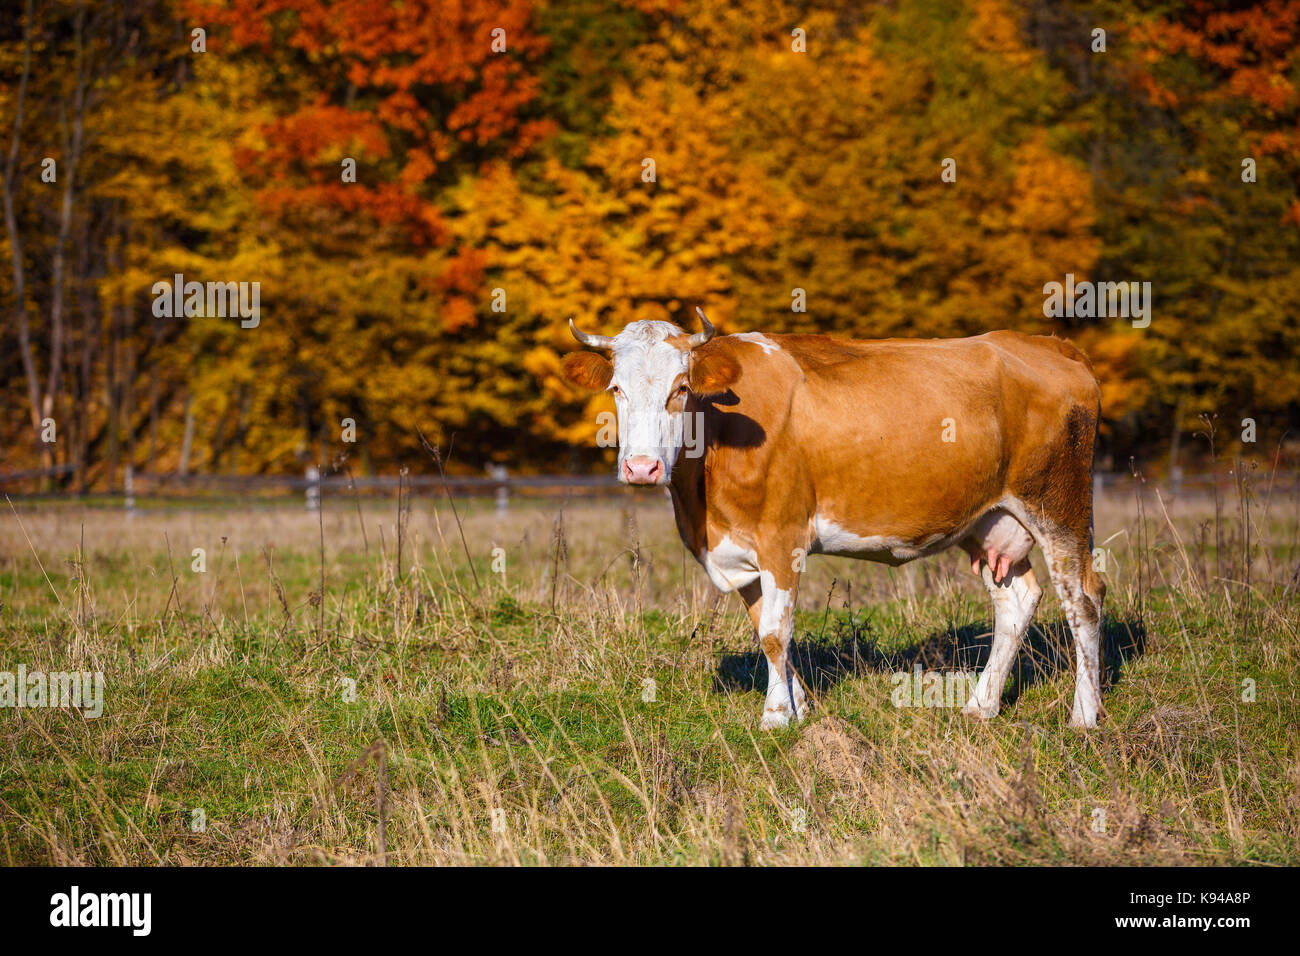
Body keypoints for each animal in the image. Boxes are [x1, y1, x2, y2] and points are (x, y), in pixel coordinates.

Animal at [561, 310, 1107, 728]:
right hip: (988, 519)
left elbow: (775, 632)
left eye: (680, 387)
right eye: (616, 388)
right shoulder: (740, 549)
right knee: (1016, 601)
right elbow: (766, 630)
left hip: (1059, 506)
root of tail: (1050, 345)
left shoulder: (781, 537)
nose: (641, 467)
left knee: (1083, 600)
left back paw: (1084, 715)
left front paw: (776, 717)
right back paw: (981, 706)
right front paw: (799, 705)